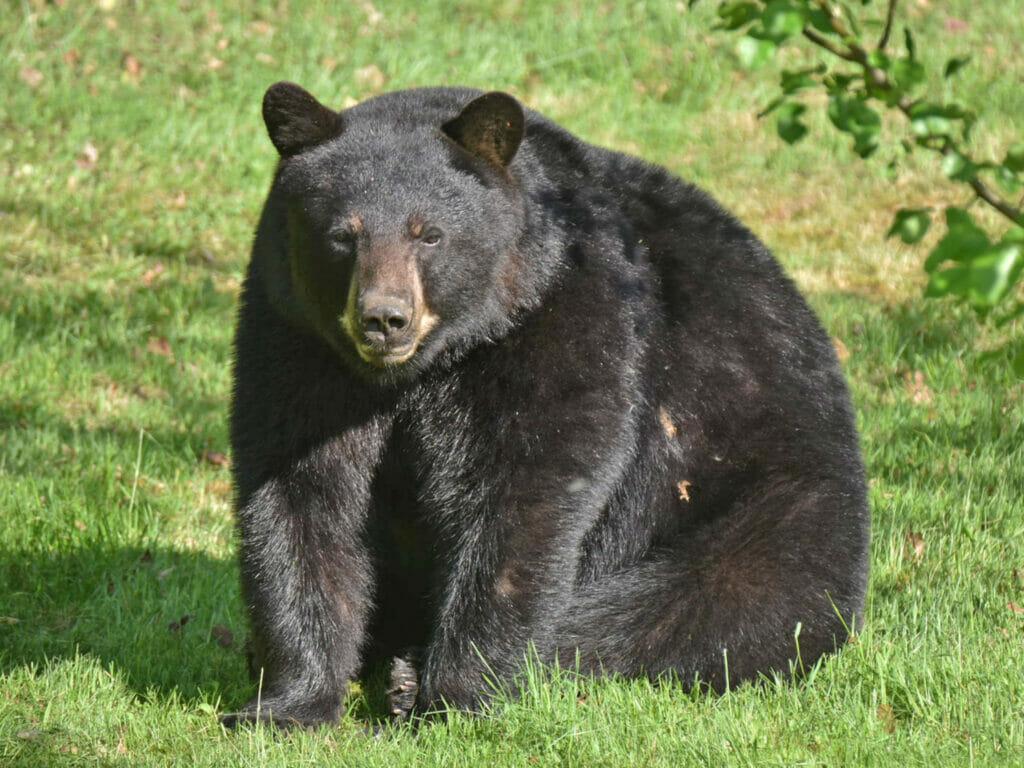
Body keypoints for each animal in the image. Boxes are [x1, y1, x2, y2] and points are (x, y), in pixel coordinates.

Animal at [220, 81, 868, 729]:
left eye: (429, 234)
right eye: (343, 234)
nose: (383, 318)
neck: (422, 368)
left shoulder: (563, 312)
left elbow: (523, 495)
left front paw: (456, 698)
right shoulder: (298, 340)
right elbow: (300, 494)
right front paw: (287, 704)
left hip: (773, 513)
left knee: (673, 612)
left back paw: (411, 676)